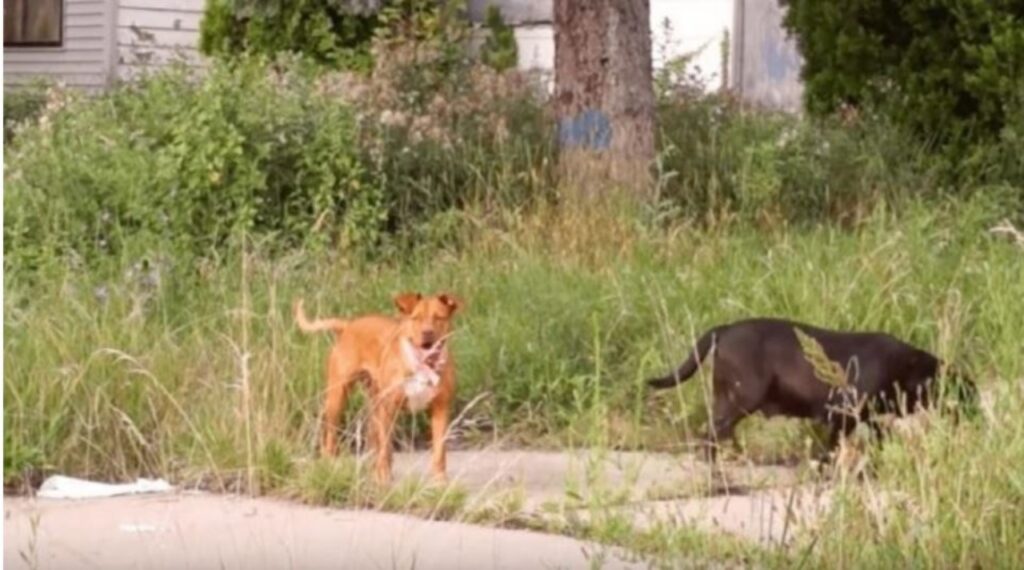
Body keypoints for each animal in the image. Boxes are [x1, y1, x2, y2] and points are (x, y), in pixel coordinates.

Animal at [292, 290, 460, 483]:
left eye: (439, 317)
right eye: (415, 318)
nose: (427, 333)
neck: (421, 363)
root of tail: (349, 325)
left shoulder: (441, 409)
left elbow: (439, 450)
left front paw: (440, 480)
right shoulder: (388, 409)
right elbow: (385, 445)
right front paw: (383, 476)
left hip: (374, 404)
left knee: (373, 439)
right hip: (337, 399)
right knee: (331, 436)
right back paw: (331, 465)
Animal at [647, 317, 974, 460]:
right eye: (962, 390)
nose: (975, 410)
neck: (902, 367)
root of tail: (724, 329)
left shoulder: (868, 419)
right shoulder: (842, 416)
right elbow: (831, 449)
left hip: (729, 400)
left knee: (718, 433)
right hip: (741, 397)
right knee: (711, 436)